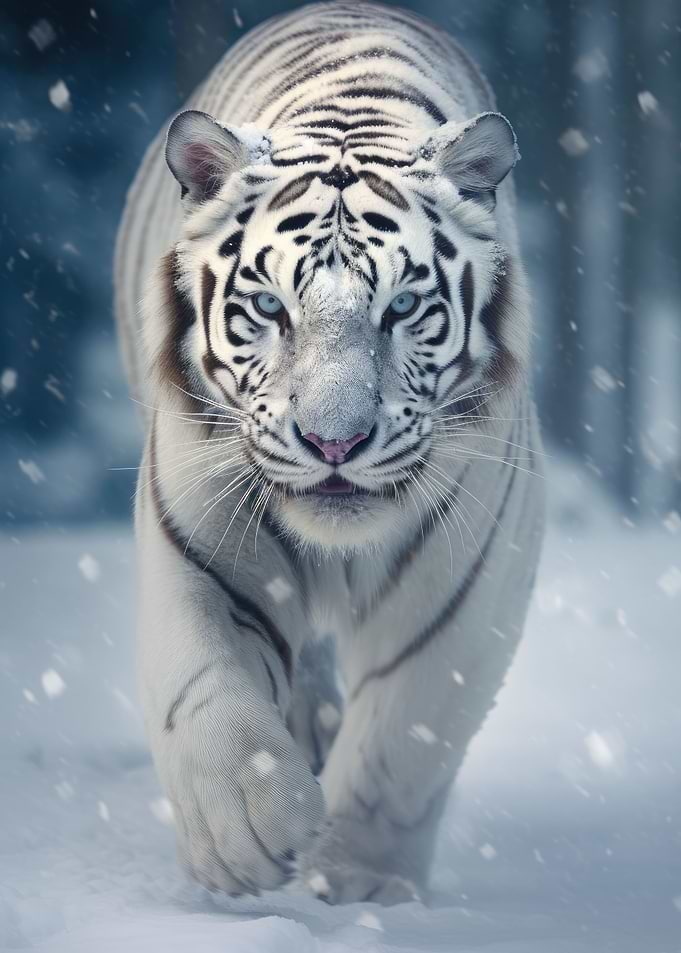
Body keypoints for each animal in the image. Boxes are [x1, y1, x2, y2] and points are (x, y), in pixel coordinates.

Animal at [114, 0, 545, 905]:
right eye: (269, 307)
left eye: (404, 307)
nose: (334, 440)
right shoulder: (194, 532)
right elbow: (205, 686)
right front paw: (243, 837)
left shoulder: (474, 567)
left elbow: (404, 738)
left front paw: (359, 881)